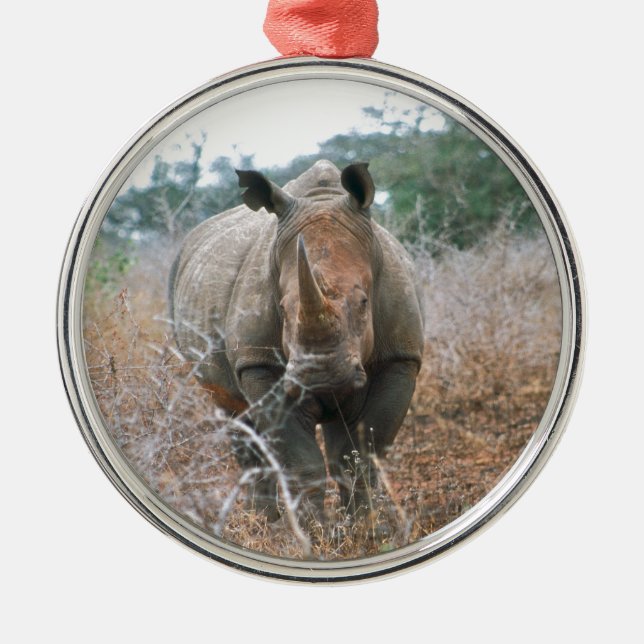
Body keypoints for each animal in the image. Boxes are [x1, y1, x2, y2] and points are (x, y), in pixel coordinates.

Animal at [169, 160, 424, 522]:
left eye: (364, 303)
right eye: (283, 309)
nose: (321, 376)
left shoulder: (400, 358)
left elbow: (361, 458)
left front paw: (363, 529)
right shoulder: (260, 365)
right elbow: (301, 461)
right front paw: (315, 533)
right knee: (238, 421)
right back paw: (265, 524)